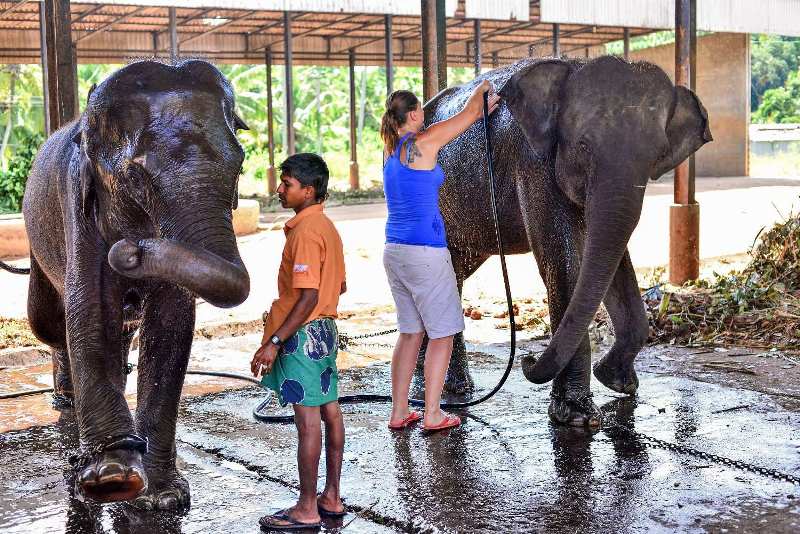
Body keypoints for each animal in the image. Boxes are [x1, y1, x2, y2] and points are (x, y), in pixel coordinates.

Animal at [0, 60, 250, 512]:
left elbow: (170, 325)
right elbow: (91, 311)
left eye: (240, 164)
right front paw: (111, 479)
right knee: (50, 324)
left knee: (124, 329)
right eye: (136, 178)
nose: (130, 252)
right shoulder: (79, 206)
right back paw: (66, 403)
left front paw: (161, 496)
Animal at [424, 56, 712, 430]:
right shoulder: (533, 165)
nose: (527, 359)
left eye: (657, 155)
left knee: (455, 272)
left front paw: (617, 383)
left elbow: (612, 261)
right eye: (583, 146)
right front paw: (577, 417)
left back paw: (457, 387)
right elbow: (565, 265)